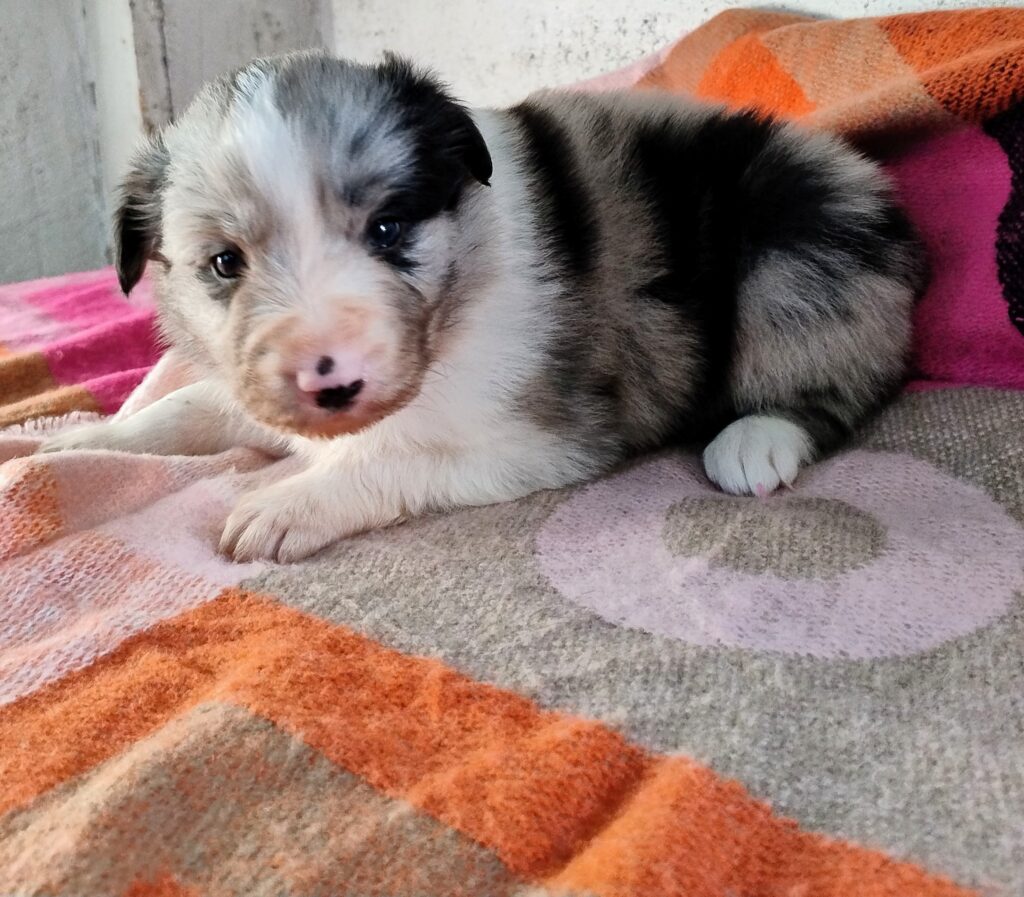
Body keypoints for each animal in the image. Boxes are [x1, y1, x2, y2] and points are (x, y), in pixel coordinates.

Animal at [39, 52, 925, 561]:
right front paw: (70, 441)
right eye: (225, 263)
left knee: (844, 375)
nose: (331, 382)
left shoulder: (544, 440)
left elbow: (392, 460)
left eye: (389, 228)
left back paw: (756, 439)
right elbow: (179, 409)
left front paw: (289, 502)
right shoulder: (249, 386)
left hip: (797, 237)